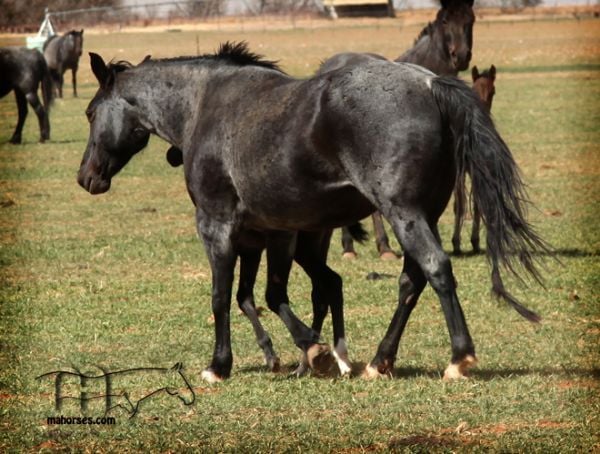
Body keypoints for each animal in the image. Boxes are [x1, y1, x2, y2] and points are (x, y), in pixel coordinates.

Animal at [77, 42, 552, 384]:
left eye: (89, 112)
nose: (86, 177)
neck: (204, 106)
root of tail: (430, 84)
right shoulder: (277, 233)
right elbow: (271, 295)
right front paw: (312, 352)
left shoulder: (217, 227)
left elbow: (223, 297)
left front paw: (221, 365)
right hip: (421, 216)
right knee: (409, 282)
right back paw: (379, 361)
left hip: (403, 213)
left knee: (435, 269)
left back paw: (458, 358)